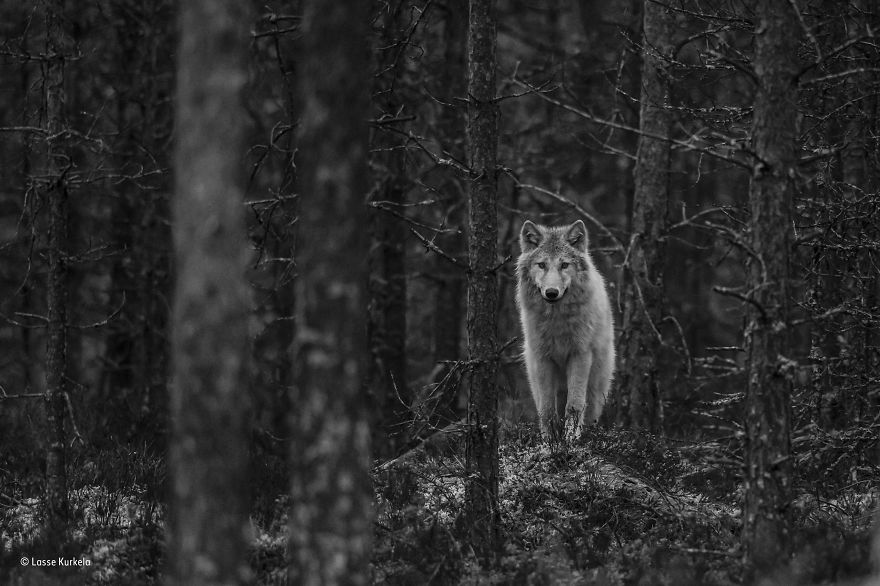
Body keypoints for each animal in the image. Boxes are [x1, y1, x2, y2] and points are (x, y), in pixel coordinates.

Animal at [516, 219, 615, 441]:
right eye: (542, 264)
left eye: (564, 265)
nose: (551, 292)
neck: (556, 320)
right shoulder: (543, 358)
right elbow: (546, 409)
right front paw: (549, 442)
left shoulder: (580, 355)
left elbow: (574, 405)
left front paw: (570, 440)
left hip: (596, 390)